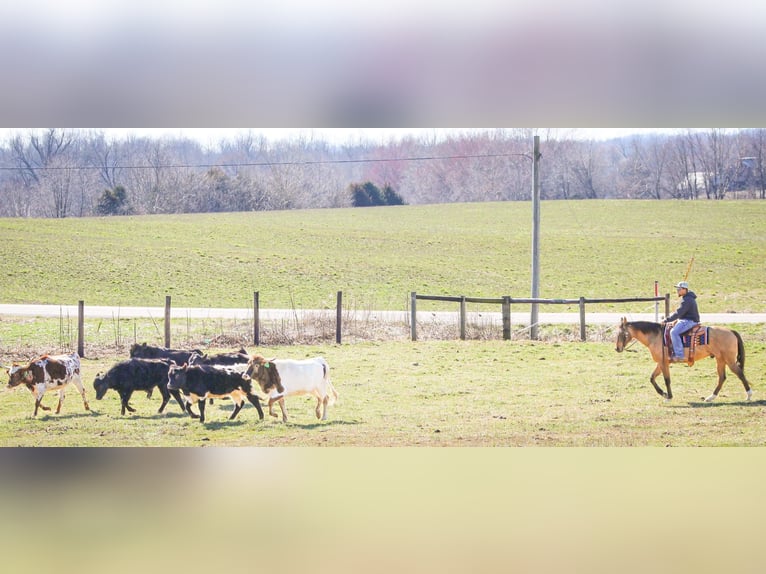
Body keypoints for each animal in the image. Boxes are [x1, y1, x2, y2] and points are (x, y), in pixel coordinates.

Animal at [616, 320, 752, 404]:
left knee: (740, 374)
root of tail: (731, 331)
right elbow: (652, 378)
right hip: (720, 360)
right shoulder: (661, 363)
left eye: (621, 334)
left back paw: (749, 395)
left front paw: (668, 397)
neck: (656, 336)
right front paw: (663, 393)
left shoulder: (664, 363)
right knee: (722, 377)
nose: (617, 348)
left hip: (729, 360)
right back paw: (710, 397)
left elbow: (667, 380)